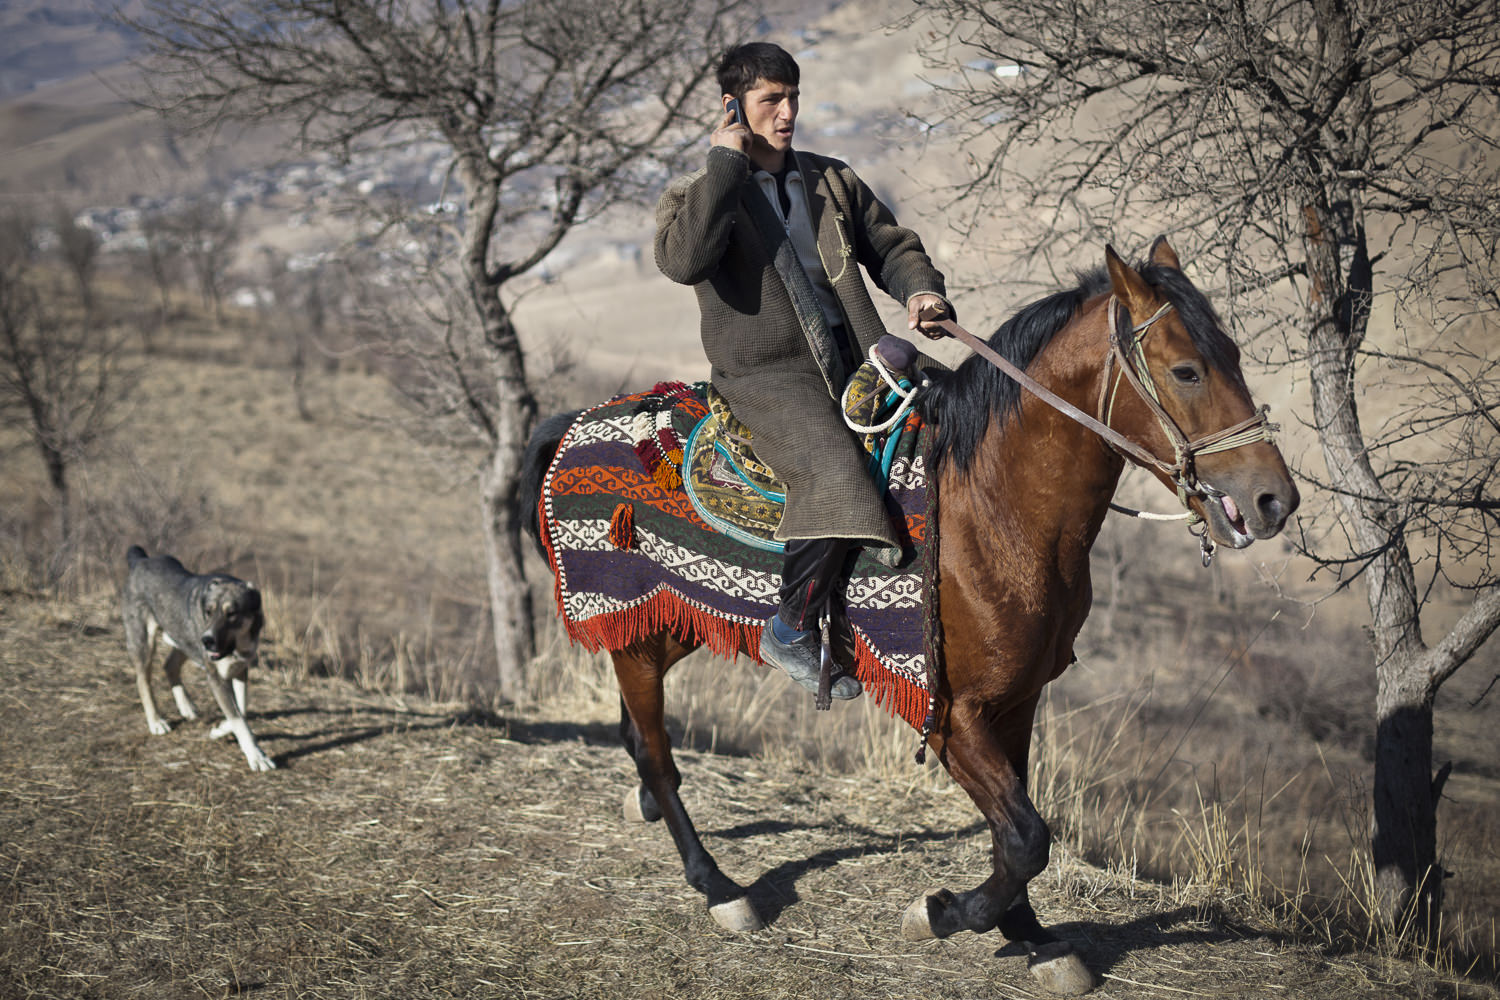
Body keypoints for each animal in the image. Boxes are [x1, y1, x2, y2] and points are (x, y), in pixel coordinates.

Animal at [120, 548, 276, 773]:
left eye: (232, 614)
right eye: (208, 612)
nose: (207, 640)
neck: (237, 645)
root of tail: (139, 560)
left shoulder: (240, 669)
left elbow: (242, 708)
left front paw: (221, 729)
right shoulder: (216, 677)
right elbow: (238, 718)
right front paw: (256, 755)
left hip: (183, 638)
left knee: (169, 665)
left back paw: (186, 706)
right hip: (144, 642)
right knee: (143, 681)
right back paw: (156, 722)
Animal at [522, 238, 1296, 995]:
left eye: (1233, 354)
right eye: (1187, 370)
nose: (1274, 501)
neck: (992, 506)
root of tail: (573, 426)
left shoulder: (1017, 702)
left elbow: (1015, 826)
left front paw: (1032, 936)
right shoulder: (954, 715)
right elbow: (1026, 837)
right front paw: (947, 913)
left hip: (666, 624)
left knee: (636, 732)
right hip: (636, 633)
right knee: (657, 754)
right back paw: (719, 887)